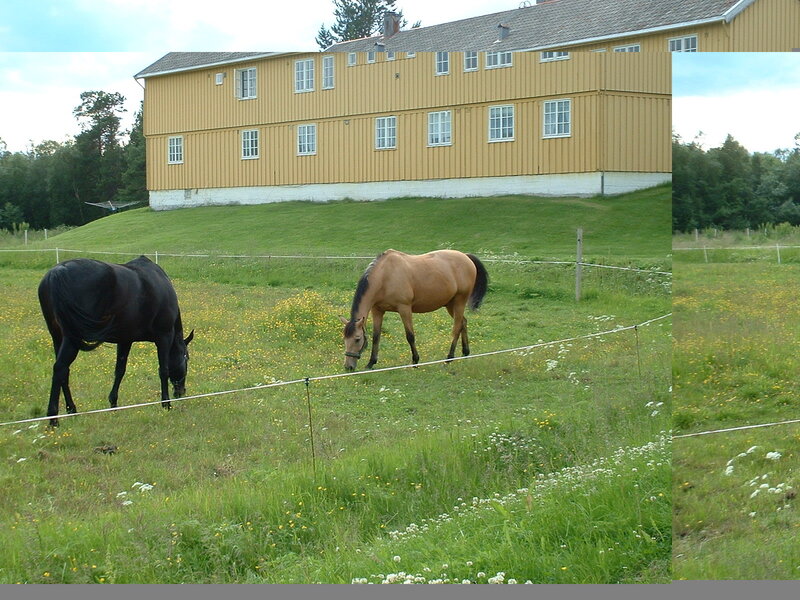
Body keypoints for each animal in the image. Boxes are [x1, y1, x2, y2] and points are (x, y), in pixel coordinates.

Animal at [38, 256, 194, 426]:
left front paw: (113, 404)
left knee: (64, 372)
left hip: (57, 338)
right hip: (71, 339)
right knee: (60, 368)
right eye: (186, 358)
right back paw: (53, 419)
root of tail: (58, 271)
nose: (181, 391)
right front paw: (166, 404)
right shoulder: (164, 337)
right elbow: (163, 370)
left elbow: (119, 370)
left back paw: (72, 410)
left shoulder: (125, 340)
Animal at [339, 249, 488, 371]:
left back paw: (448, 359)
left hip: (459, 302)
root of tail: (466, 256)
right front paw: (371, 363)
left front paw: (415, 361)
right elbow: (376, 336)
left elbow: (410, 336)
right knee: (463, 322)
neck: (385, 276)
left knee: (457, 328)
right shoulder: (377, 310)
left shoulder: (404, 309)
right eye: (345, 339)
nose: (348, 367)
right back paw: (465, 353)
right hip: (450, 305)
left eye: (357, 339)